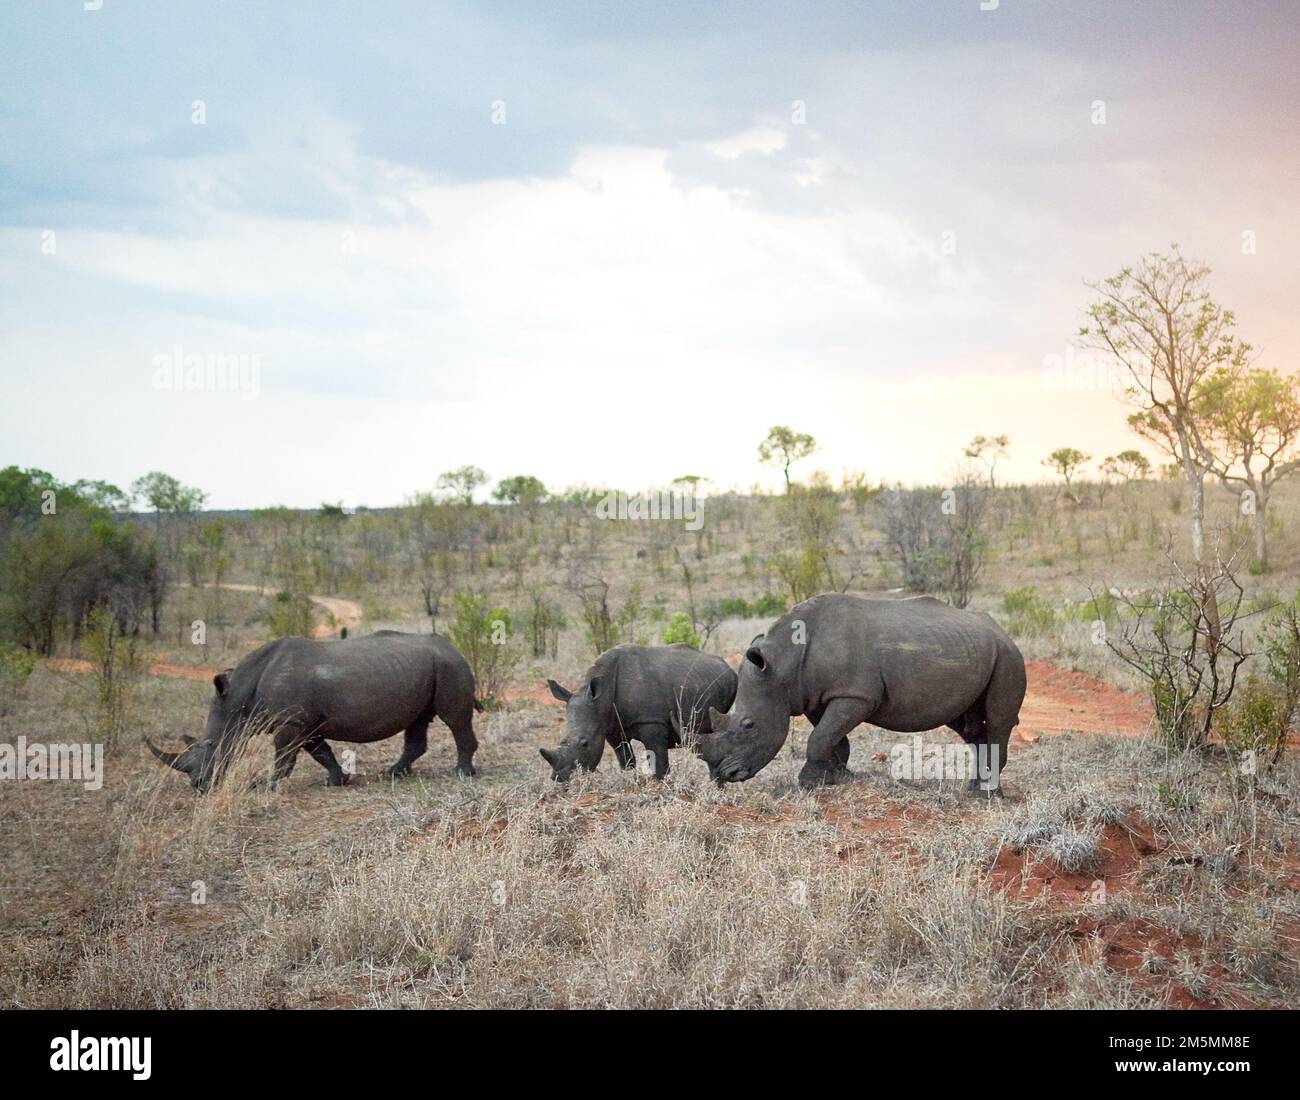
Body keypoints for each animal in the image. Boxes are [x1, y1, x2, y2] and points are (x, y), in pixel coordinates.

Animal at [147, 629, 483, 790]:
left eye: (211, 747)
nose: (199, 786)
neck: (238, 696)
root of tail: (454, 647)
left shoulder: (291, 721)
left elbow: (284, 755)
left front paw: (264, 785)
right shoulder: (302, 722)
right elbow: (319, 751)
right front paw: (336, 780)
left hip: (449, 666)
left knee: (454, 720)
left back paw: (461, 774)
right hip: (429, 667)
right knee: (418, 722)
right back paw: (393, 773)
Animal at [538, 644, 738, 785]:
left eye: (584, 743)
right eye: (561, 741)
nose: (560, 778)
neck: (600, 699)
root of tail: (727, 665)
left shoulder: (651, 722)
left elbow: (659, 762)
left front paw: (660, 786)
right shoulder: (610, 727)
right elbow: (625, 759)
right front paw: (631, 780)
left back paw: (716, 785)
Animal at [696, 598, 1019, 795]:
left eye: (749, 725)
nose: (725, 775)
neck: (783, 664)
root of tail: (1001, 630)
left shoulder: (857, 696)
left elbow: (820, 737)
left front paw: (807, 784)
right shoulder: (817, 696)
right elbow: (833, 738)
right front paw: (837, 778)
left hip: (1007, 656)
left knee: (997, 722)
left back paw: (987, 796)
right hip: (971, 650)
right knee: (970, 728)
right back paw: (973, 788)